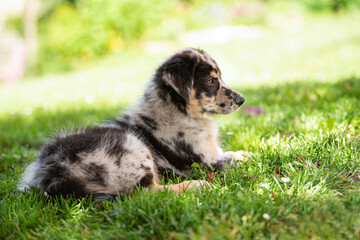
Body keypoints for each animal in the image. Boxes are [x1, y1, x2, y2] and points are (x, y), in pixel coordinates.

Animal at [19, 47, 250, 200]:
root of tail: (53, 174)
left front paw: (246, 152)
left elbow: (232, 153)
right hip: (132, 146)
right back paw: (196, 185)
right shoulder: (201, 162)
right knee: (146, 192)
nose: (242, 100)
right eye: (210, 81)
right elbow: (229, 160)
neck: (178, 110)